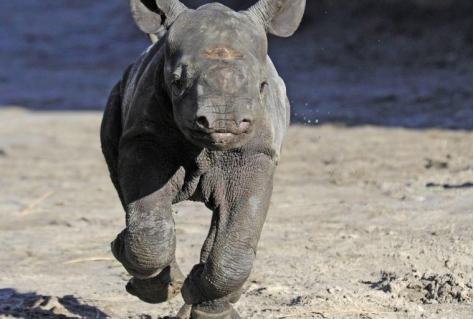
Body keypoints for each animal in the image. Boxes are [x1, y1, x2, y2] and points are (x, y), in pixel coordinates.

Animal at [101, 0, 304, 318]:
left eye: (262, 85)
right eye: (176, 81)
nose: (223, 122)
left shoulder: (256, 153)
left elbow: (237, 236)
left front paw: (204, 299)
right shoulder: (144, 139)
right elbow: (148, 228)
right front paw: (123, 249)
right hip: (119, 94)